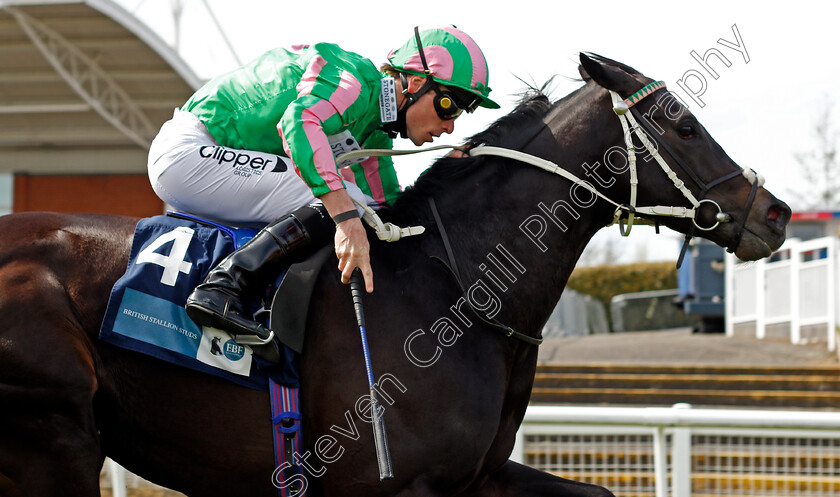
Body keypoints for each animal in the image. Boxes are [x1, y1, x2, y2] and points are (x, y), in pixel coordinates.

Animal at [0, 52, 788, 494]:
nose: (774, 213)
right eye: (683, 124)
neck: (453, 288)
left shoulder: (476, 476)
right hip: (55, 441)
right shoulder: (395, 483)